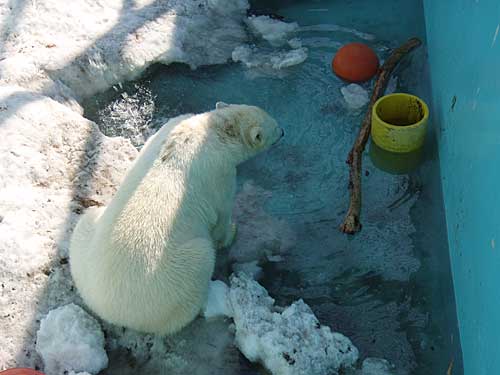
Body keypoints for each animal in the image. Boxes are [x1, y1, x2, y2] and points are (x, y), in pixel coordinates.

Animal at [68, 102, 284, 334]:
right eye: (274, 127)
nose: (283, 131)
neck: (214, 130)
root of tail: (112, 310)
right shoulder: (222, 174)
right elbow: (222, 213)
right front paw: (232, 231)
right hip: (177, 276)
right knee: (200, 261)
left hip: (86, 242)